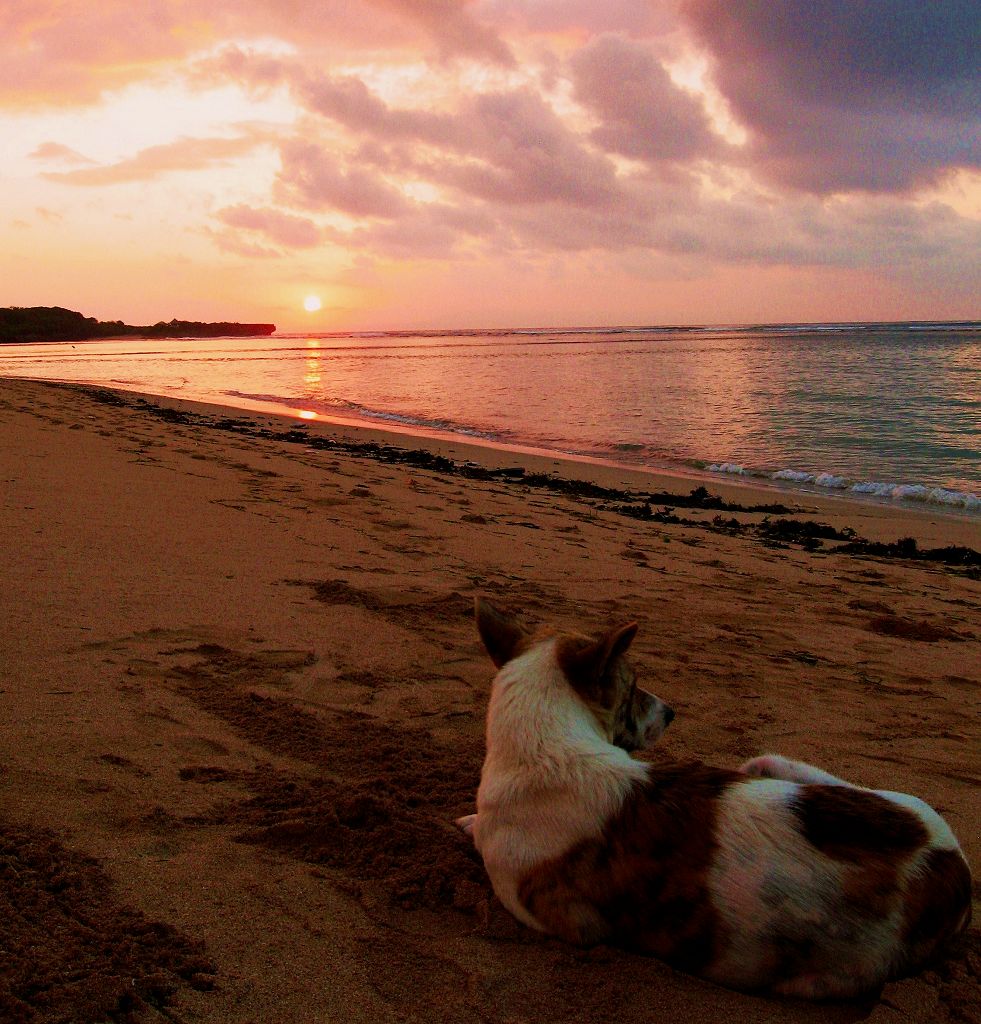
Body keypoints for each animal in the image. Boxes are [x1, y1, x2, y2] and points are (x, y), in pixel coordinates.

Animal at [460, 598, 974, 999]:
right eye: (633, 687)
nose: (671, 711)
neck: (548, 746)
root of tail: (953, 867)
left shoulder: (553, 918)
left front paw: (468, 822)